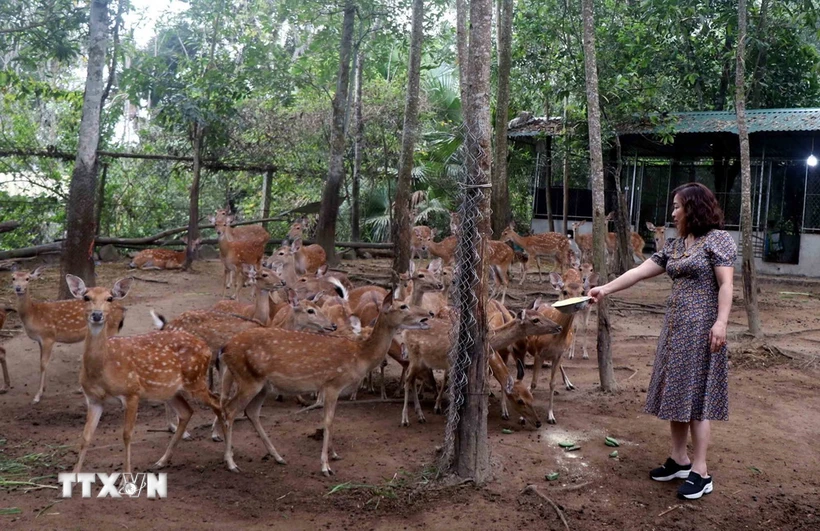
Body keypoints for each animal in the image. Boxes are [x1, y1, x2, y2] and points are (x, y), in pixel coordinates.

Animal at [12, 268, 125, 406]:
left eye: (27, 278)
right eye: (13, 278)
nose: (18, 288)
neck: (33, 315)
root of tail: (122, 309)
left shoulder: (48, 336)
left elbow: (43, 364)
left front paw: (37, 396)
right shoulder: (40, 340)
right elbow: (40, 362)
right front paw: (43, 390)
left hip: (110, 330)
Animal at [65, 274, 223, 474]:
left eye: (110, 298)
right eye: (86, 297)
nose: (97, 315)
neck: (104, 369)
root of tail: (206, 347)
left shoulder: (132, 392)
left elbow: (127, 435)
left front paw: (127, 476)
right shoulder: (93, 399)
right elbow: (85, 437)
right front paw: (74, 476)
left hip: (195, 379)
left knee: (217, 401)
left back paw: (227, 455)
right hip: (169, 390)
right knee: (187, 411)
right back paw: (162, 461)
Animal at [221, 294, 432, 476]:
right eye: (403, 306)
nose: (429, 313)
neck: (359, 357)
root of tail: (225, 348)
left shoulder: (327, 388)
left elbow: (329, 421)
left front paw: (334, 454)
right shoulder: (333, 384)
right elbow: (329, 421)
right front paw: (325, 466)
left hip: (262, 384)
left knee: (251, 412)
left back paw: (278, 457)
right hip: (248, 379)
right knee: (230, 410)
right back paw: (231, 463)